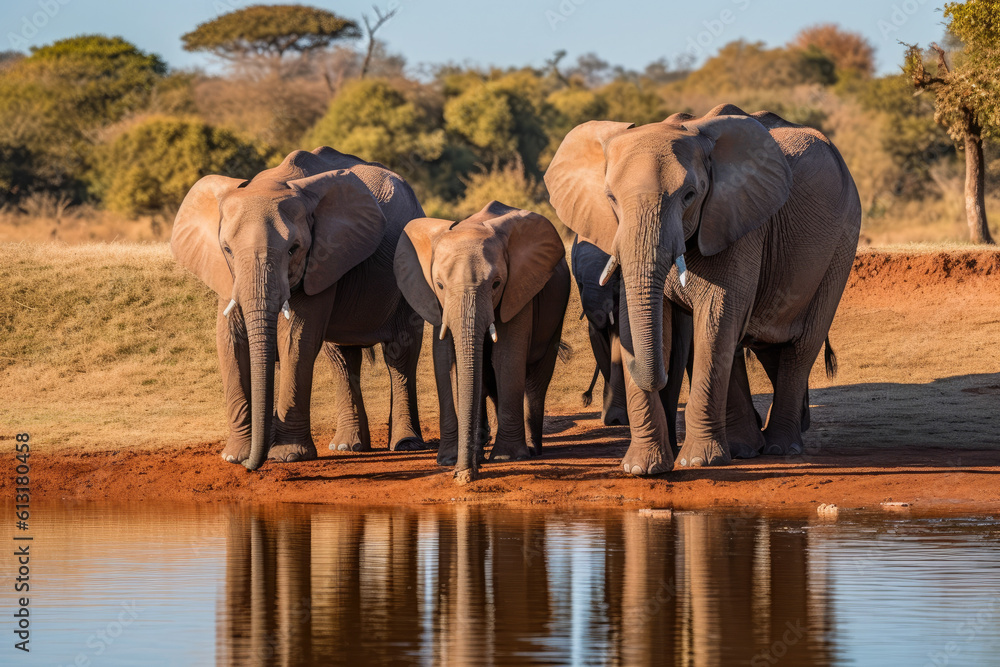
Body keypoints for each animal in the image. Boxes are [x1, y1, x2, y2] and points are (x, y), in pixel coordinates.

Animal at [171, 146, 427, 470]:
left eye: (294, 249)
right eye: (227, 249)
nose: (253, 465)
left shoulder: (322, 257)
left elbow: (295, 339)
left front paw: (288, 456)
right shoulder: (227, 274)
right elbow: (229, 339)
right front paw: (234, 456)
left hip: (410, 269)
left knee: (400, 353)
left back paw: (406, 444)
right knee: (341, 358)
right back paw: (347, 446)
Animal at [394, 201, 571, 484]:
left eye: (496, 283)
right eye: (440, 285)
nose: (464, 475)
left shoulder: (519, 288)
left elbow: (506, 357)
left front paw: (507, 458)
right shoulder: (436, 302)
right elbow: (445, 360)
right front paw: (448, 460)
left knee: (535, 378)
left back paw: (531, 450)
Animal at [545, 103, 861, 475]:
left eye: (689, 196)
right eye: (611, 199)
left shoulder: (737, 223)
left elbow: (715, 316)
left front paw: (698, 462)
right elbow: (649, 323)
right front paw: (643, 469)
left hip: (841, 245)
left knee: (800, 345)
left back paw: (780, 447)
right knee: (763, 346)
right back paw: (747, 447)